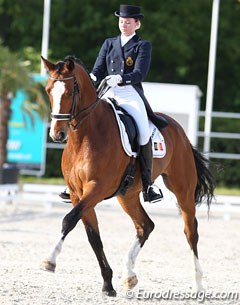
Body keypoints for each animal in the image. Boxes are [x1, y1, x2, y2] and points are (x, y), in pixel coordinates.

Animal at [40, 54, 215, 294]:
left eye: (68, 93)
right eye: (48, 90)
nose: (57, 134)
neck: (85, 137)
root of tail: (179, 130)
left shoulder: (96, 189)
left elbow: (69, 220)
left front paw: (50, 260)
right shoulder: (78, 194)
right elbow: (92, 235)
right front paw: (108, 284)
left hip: (183, 190)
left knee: (191, 232)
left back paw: (197, 284)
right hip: (128, 195)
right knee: (145, 225)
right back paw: (129, 274)